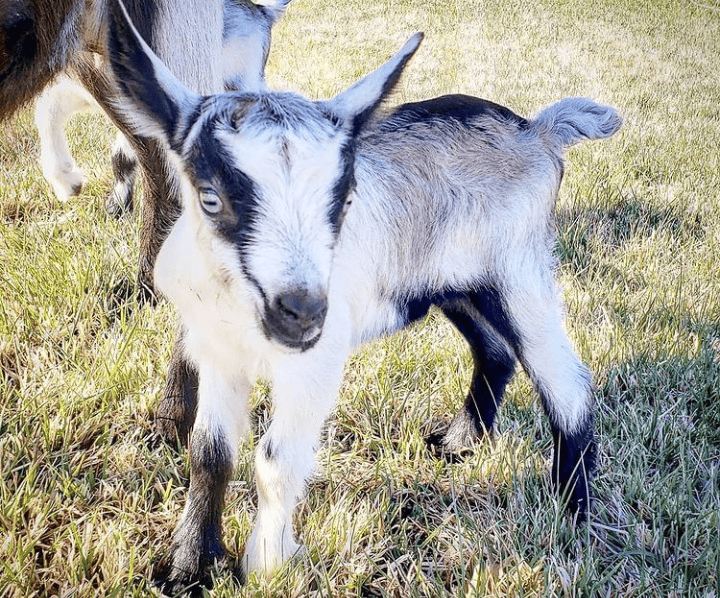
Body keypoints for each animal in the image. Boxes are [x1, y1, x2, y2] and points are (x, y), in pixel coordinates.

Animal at [107, 0, 620, 592]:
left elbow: (275, 459)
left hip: (519, 271)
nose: (302, 312)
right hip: (457, 284)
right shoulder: (218, 351)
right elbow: (208, 453)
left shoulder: (315, 363)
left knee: (566, 378)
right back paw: (458, 443)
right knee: (494, 350)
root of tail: (538, 132)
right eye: (210, 197)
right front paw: (189, 567)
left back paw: (572, 515)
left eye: (345, 198)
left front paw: (267, 565)